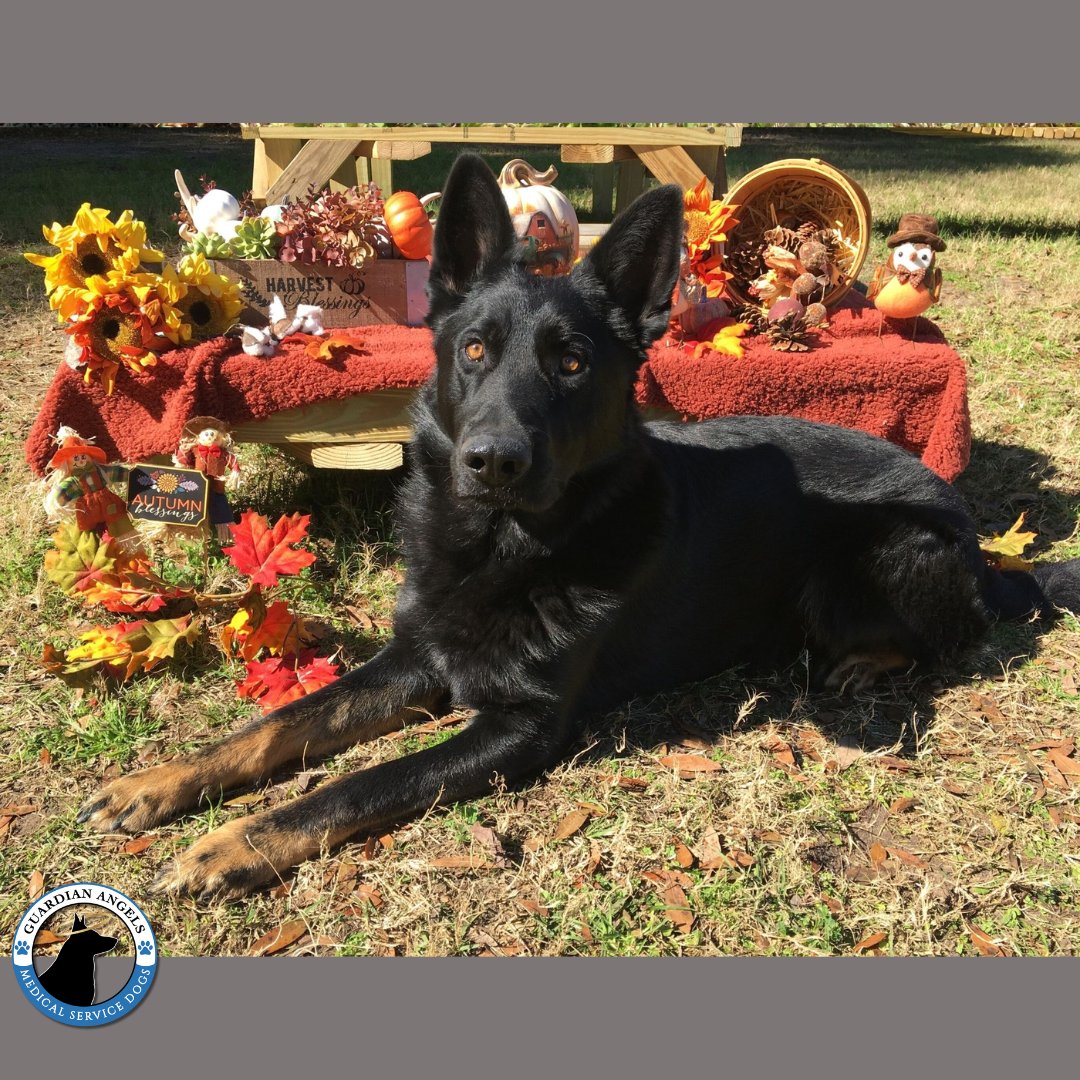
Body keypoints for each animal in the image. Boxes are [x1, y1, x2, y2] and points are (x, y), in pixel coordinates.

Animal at [78, 150, 1080, 894]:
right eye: (473, 350)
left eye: (570, 363)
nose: (492, 462)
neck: (499, 550)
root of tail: (977, 542)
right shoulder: (412, 662)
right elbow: (276, 726)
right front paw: (156, 784)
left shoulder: (519, 728)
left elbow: (356, 785)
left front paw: (230, 843)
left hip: (876, 557)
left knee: (945, 638)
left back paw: (865, 661)